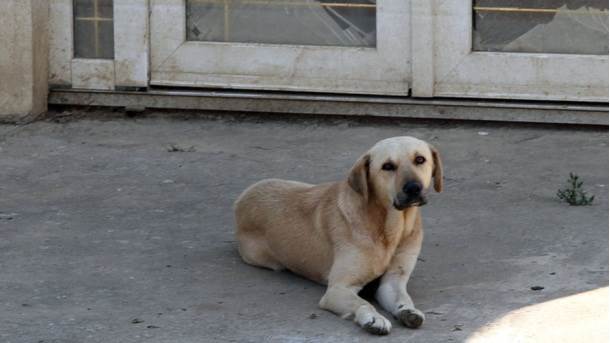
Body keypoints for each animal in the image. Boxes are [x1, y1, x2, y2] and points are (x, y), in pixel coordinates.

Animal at [234, 137, 442, 336]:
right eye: (388, 166)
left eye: (420, 159)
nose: (413, 188)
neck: (388, 228)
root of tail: (243, 196)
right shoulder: (338, 289)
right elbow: (362, 302)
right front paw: (374, 319)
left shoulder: (392, 282)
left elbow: (403, 298)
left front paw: (408, 311)